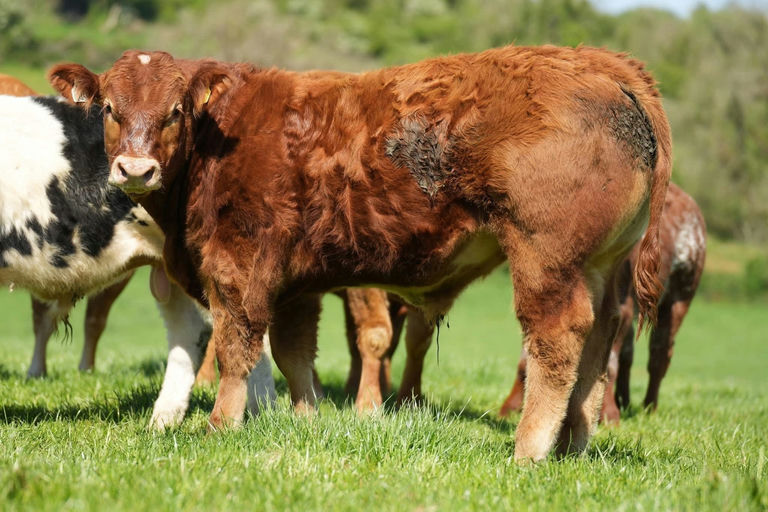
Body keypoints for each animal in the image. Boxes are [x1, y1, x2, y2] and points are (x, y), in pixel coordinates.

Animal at [49, 44, 671, 462]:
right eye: (108, 108)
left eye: (176, 110)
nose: (135, 169)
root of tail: (598, 61)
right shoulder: (293, 284)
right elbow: (294, 353)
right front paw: (306, 418)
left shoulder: (239, 265)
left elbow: (235, 347)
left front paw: (221, 425)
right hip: (600, 266)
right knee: (600, 343)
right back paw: (576, 444)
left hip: (547, 260)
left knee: (557, 340)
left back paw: (531, 449)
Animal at [499, 183, 706, 421]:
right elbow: (529, 356)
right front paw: (510, 408)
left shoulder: (620, 304)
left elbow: (607, 361)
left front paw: (608, 415)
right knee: (628, 354)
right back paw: (624, 402)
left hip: (680, 295)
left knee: (659, 354)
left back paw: (648, 408)